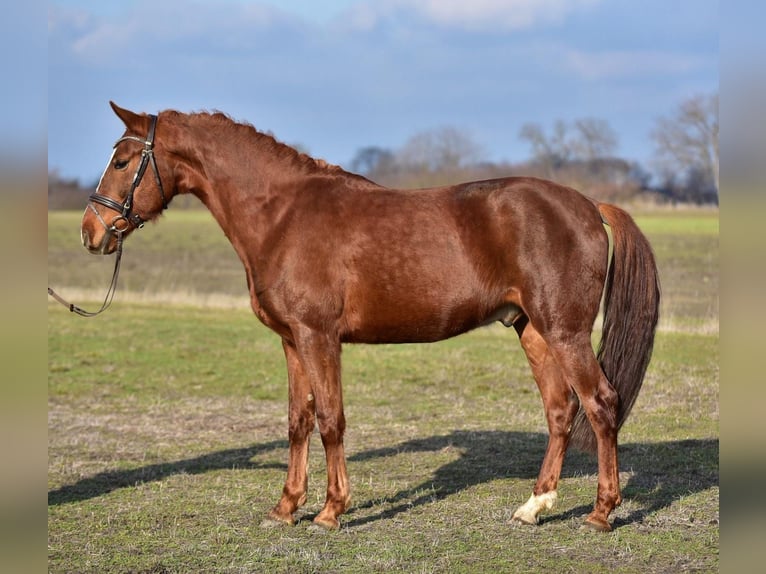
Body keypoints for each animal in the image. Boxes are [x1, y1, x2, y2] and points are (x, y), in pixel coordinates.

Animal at [81, 102, 660, 532]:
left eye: (122, 161)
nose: (90, 231)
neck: (282, 215)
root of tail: (589, 205)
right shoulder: (291, 341)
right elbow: (298, 422)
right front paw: (286, 507)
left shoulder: (319, 337)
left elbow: (331, 421)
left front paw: (330, 512)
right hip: (533, 330)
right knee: (561, 411)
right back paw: (534, 507)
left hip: (566, 333)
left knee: (601, 405)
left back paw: (601, 513)